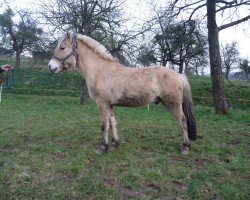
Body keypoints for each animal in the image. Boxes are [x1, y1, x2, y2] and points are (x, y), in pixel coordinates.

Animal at [47, 32, 196, 155]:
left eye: (62, 47)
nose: (50, 66)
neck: (100, 70)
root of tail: (179, 75)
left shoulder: (102, 104)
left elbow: (104, 125)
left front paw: (103, 147)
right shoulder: (109, 105)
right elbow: (112, 123)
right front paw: (114, 144)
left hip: (173, 104)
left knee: (183, 121)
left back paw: (185, 147)